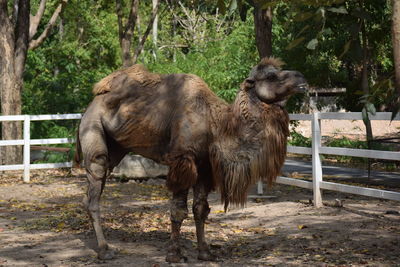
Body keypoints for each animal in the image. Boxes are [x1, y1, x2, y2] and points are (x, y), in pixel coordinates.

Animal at [74, 57, 306, 262]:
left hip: (116, 147)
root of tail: (90, 105)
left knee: (91, 193)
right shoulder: (183, 160)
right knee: (95, 183)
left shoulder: (204, 167)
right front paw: (174, 254)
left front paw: (205, 252)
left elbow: (200, 210)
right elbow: (178, 210)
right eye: (271, 75)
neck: (215, 124)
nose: (301, 78)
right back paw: (105, 250)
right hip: (93, 129)